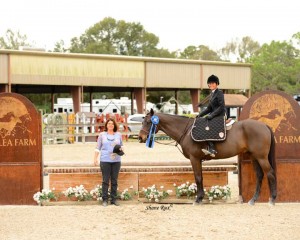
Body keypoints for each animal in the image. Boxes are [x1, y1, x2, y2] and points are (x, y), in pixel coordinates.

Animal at [138, 109, 276, 205]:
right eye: (143, 121)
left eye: (149, 122)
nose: (140, 138)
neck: (186, 131)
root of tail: (264, 125)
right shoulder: (198, 160)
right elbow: (201, 178)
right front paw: (201, 197)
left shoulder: (194, 158)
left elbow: (198, 178)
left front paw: (198, 199)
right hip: (254, 157)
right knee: (260, 176)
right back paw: (253, 200)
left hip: (261, 157)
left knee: (270, 173)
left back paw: (272, 200)